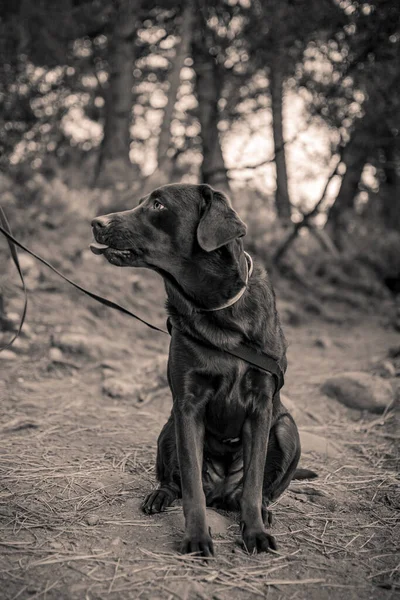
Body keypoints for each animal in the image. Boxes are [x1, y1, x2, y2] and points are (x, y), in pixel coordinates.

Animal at [92, 183, 314, 556]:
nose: (96, 221)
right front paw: (196, 537)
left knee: (261, 490)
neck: (217, 311)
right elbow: (192, 486)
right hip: (168, 428)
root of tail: (221, 492)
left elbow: (254, 483)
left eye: (158, 204)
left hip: (287, 429)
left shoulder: (261, 406)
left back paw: (263, 511)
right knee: (176, 483)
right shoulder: (187, 406)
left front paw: (254, 531)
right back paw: (159, 495)